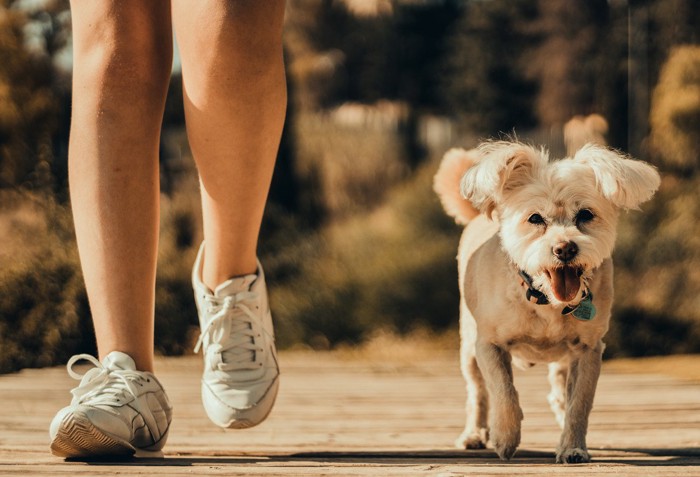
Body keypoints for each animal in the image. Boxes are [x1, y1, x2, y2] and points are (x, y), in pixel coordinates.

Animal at [434, 126, 660, 462]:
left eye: (585, 215)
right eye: (535, 218)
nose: (565, 248)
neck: (546, 301)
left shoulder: (588, 349)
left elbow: (580, 403)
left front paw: (573, 447)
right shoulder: (488, 345)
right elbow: (503, 391)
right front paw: (505, 437)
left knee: (559, 389)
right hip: (469, 347)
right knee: (478, 392)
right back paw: (474, 433)